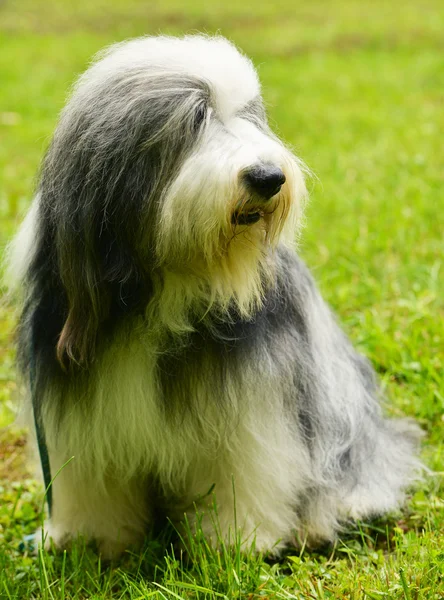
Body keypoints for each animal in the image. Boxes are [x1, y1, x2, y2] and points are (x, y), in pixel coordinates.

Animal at [8, 34, 422, 556]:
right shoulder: (75, 394)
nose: (269, 177)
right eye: (195, 119)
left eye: (249, 117)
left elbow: (244, 470)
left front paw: (237, 542)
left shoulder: (253, 405)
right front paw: (92, 540)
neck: (165, 287)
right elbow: (92, 479)